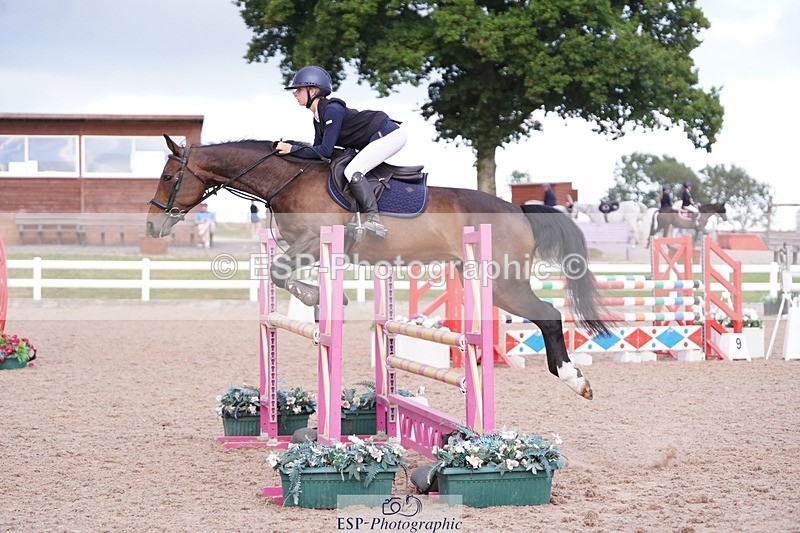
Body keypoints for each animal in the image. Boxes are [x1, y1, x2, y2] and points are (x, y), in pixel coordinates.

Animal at [146, 136, 611, 400]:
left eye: (169, 177)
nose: (152, 226)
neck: (287, 179)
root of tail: (517, 208)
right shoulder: (306, 248)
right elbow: (279, 272)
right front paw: (321, 302)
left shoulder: (314, 241)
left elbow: (280, 272)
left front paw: (321, 298)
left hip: (504, 282)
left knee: (548, 315)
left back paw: (575, 379)